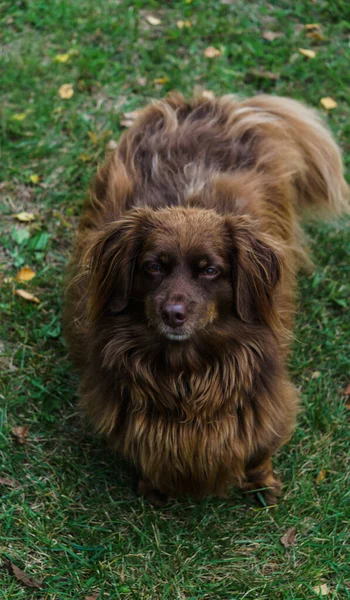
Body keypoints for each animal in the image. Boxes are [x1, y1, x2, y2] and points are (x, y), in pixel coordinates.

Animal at [64, 92, 348, 506]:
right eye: (153, 266)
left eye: (210, 270)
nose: (174, 313)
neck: (187, 373)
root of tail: (205, 102)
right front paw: (153, 489)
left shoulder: (262, 406)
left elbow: (259, 451)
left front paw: (264, 486)